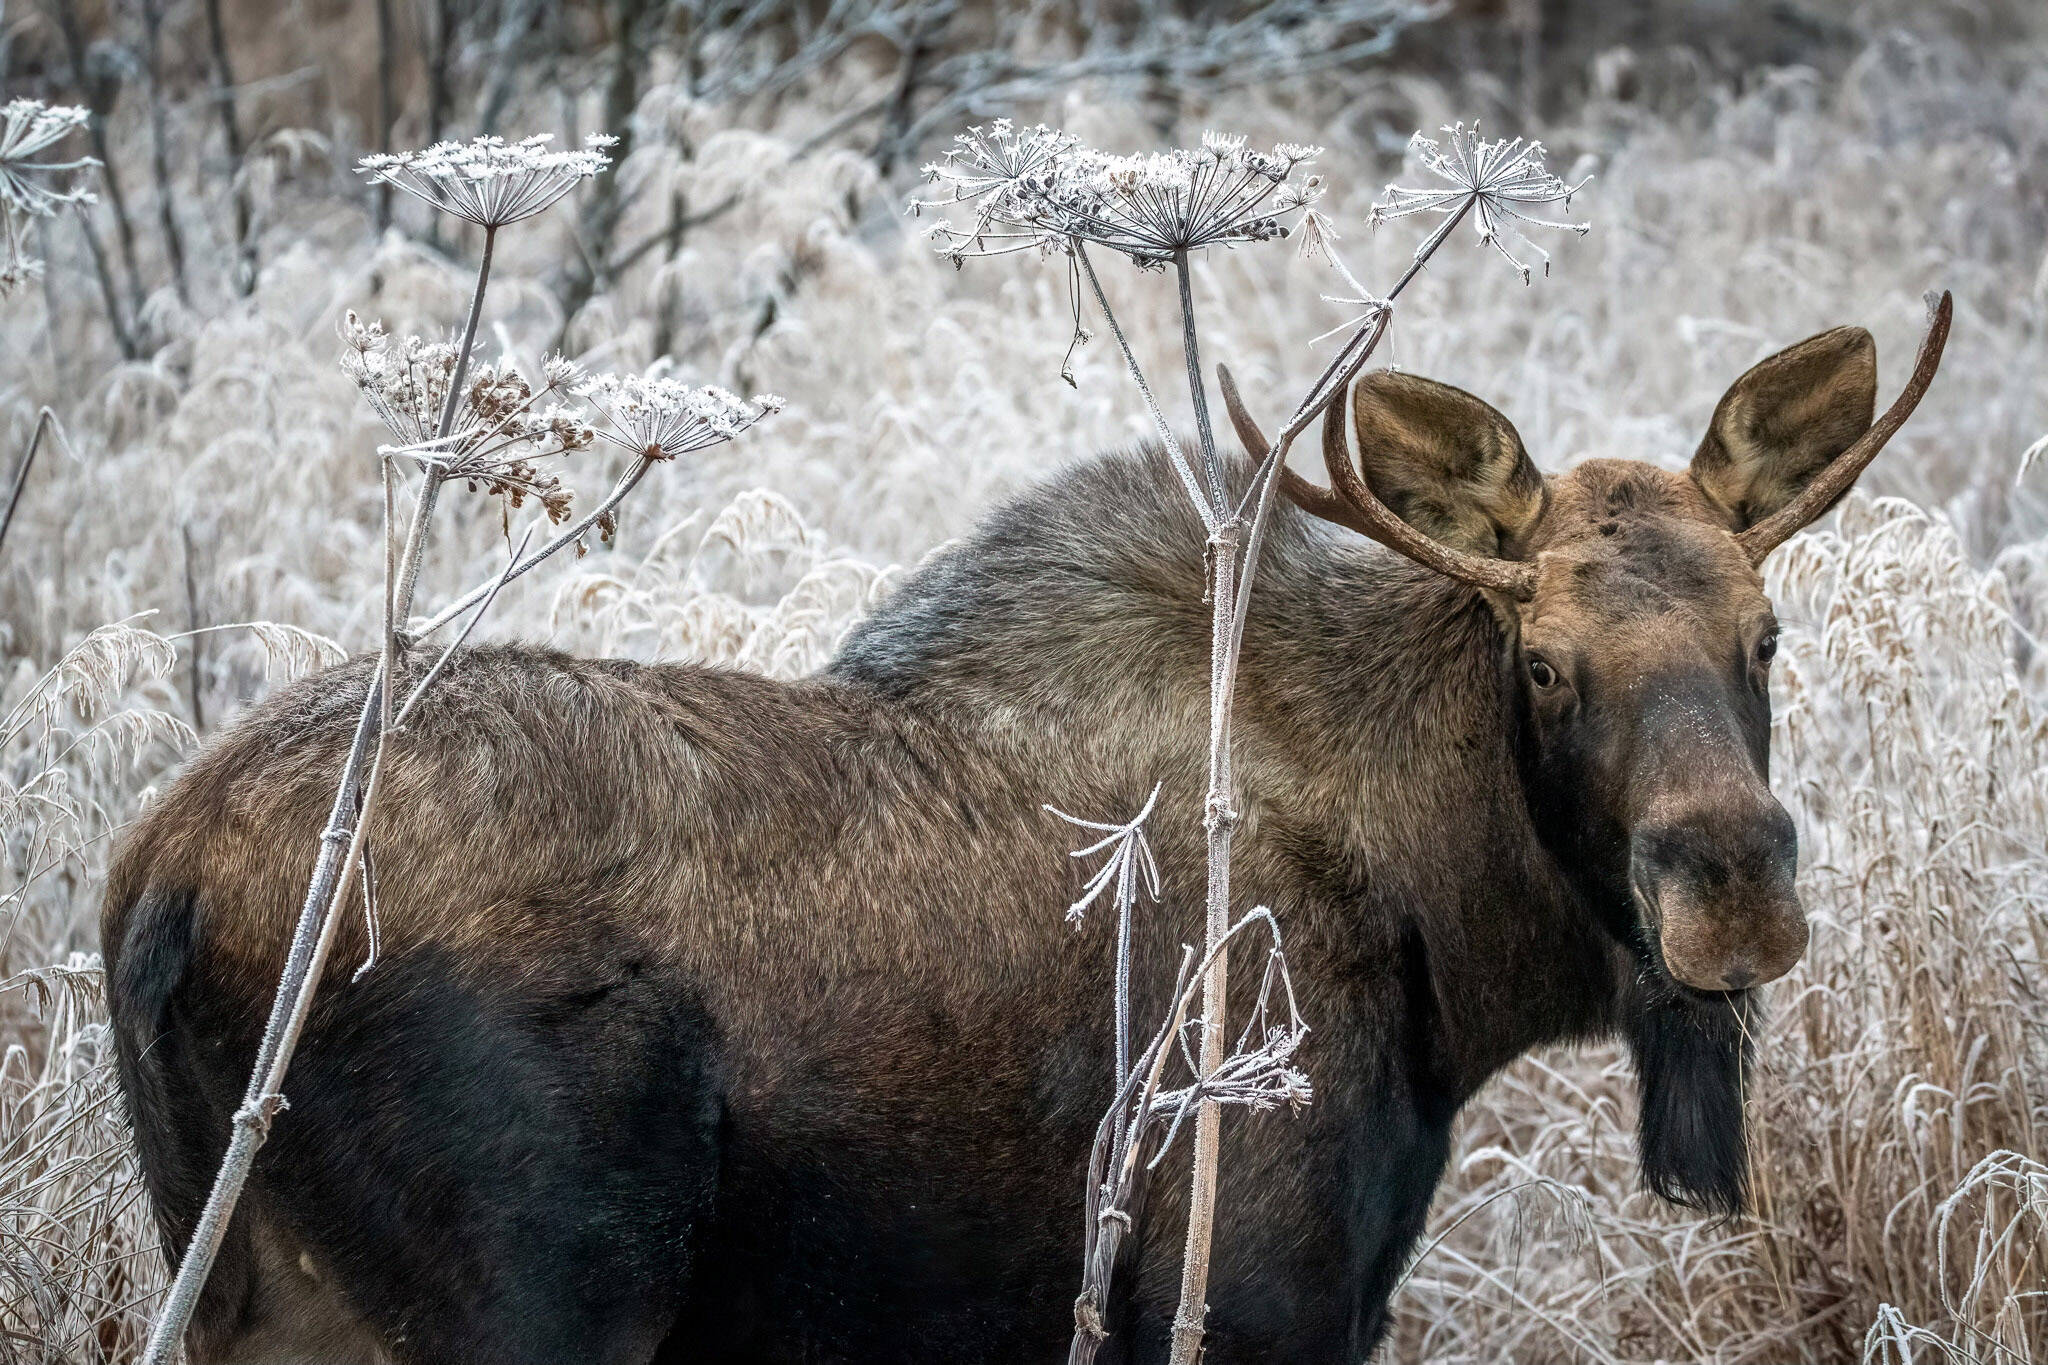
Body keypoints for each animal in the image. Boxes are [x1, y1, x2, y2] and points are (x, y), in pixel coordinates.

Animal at [99, 300, 1949, 1365]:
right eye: (1547, 663)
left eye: (1763, 634)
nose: (1731, 879)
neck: (1449, 947)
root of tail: (152, 898)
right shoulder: (1254, 1290)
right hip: (531, 1298)